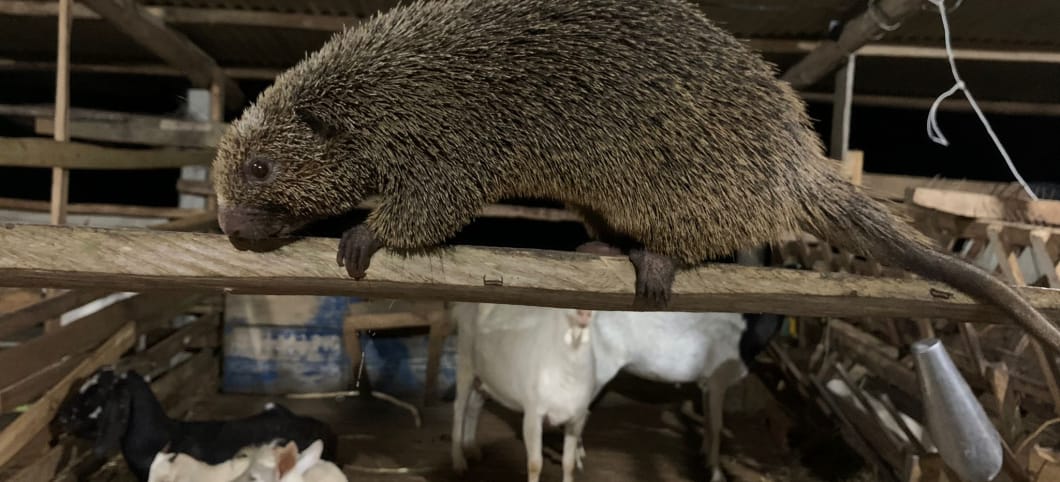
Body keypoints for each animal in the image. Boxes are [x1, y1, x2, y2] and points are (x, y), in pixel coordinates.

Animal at [449, 302, 596, 482]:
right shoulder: (533, 413)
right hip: (465, 363)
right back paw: (458, 462)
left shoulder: (577, 419)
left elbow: (569, 464)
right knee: (459, 409)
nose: (584, 313)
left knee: (474, 407)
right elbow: (535, 464)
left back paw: (471, 448)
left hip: (485, 377)